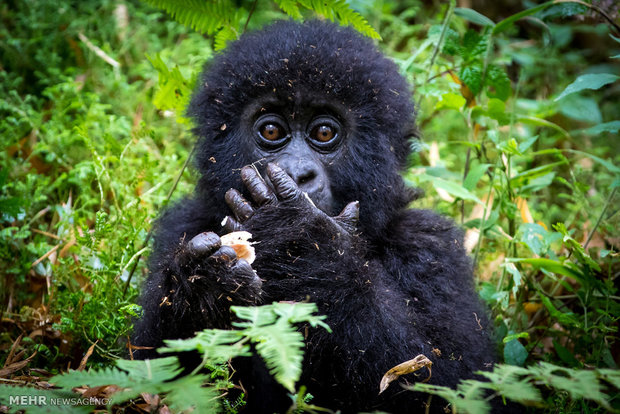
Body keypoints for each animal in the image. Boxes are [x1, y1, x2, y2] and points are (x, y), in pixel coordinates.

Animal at [132, 20, 498, 414]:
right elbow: (146, 373)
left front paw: (299, 240)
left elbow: (451, 383)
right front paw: (202, 287)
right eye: (271, 131)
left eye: (324, 132)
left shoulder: (431, 245)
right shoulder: (182, 225)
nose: (297, 173)